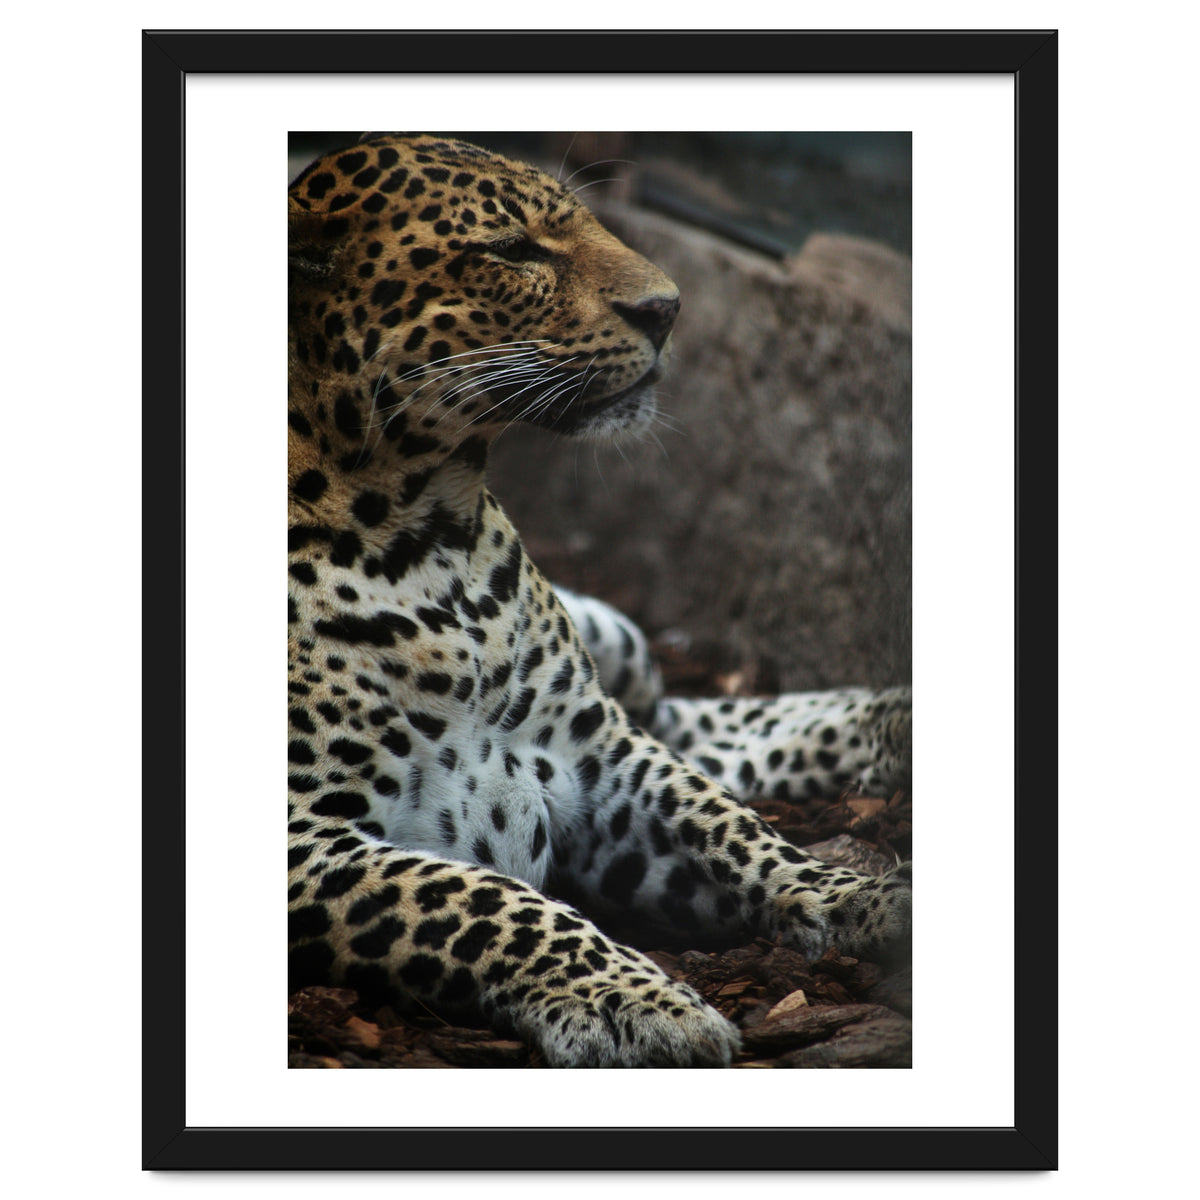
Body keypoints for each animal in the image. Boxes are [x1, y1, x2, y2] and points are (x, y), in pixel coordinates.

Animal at [288, 133, 912, 1068]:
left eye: (581, 221)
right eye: (511, 250)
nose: (669, 309)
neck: (430, 537)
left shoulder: (597, 754)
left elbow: (731, 826)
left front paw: (861, 897)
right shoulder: (303, 838)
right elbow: (482, 901)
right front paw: (637, 1002)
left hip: (620, 651)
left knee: (685, 722)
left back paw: (893, 720)